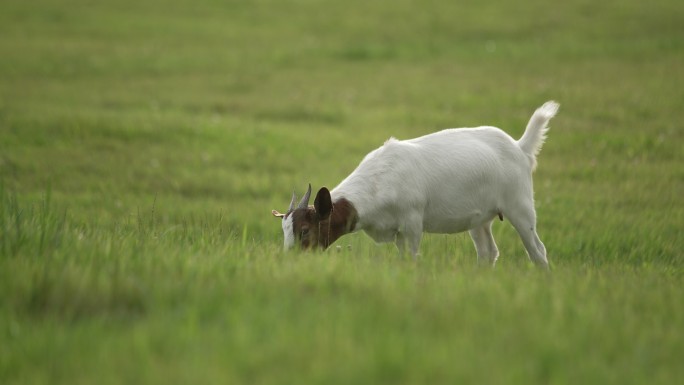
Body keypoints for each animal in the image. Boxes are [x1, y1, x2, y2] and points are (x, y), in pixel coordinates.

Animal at [270, 100, 560, 268]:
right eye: (284, 230)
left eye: (305, 230)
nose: (290, 260)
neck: (379, 182)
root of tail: (520, 147)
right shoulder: (397, 231)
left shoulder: (411, 223)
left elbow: (411, 258)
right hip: (480, 219)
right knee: (488, 252)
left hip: (519, 204)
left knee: (538, 250)